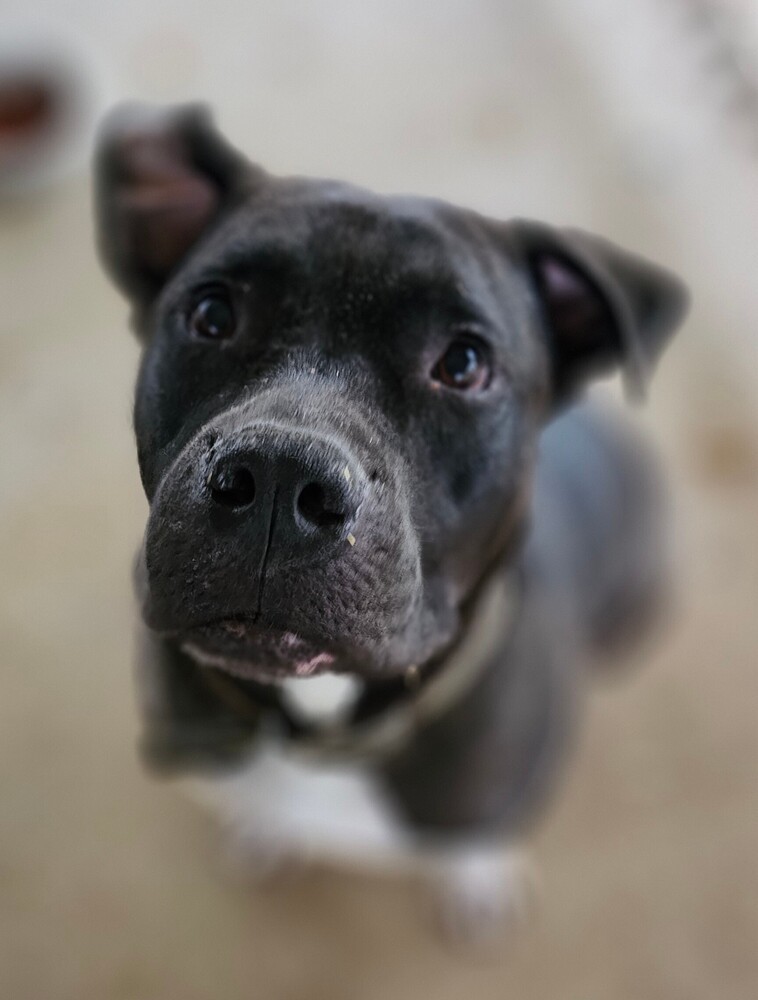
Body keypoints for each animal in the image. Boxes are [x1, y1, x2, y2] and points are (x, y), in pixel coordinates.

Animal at [93, 105, 688, 940]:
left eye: (464, 363)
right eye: (212, 314)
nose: (279, 476)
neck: (318, 732)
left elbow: (475, 839)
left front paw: (478, 880)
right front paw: (264, 828)